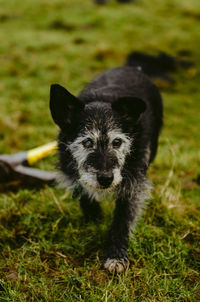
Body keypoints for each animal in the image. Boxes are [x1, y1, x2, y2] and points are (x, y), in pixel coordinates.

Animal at [49, 65, 162, 272]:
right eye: (87, 142)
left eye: (117, 142)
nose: (106, 179)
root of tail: (132, 67)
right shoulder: (75, 175)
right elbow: (86, 197)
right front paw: (94, 222)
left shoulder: (133, 184)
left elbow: (123, 219)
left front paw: (116, 254)